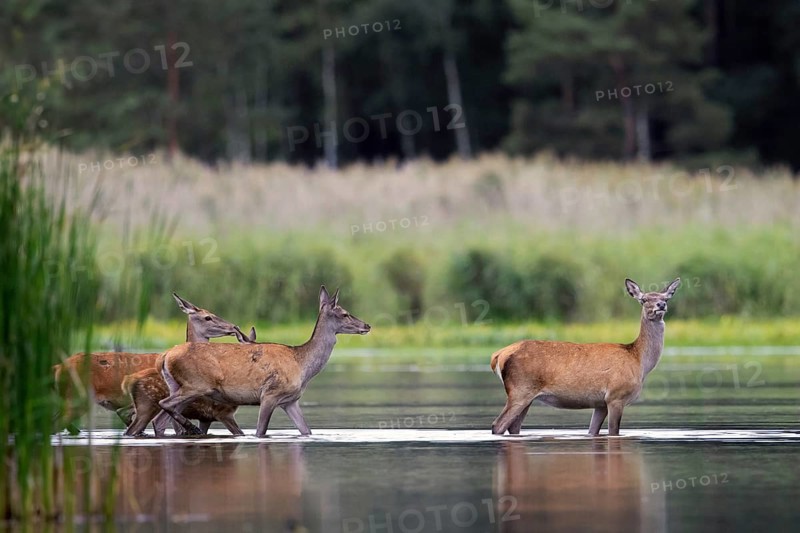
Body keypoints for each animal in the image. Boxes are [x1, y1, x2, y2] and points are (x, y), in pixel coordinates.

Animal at [157, 286, 370, 437]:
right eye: (345, 313)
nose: (367, 325)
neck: (302, 365)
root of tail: (166, 357)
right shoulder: (269, 394)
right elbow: (260, 432)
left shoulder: (290, 401)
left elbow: (306, 431)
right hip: (195, 385)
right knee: (164, 405)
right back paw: (191, 428)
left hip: (180, 387)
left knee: (161, 419)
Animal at [490, 278, 680, 437]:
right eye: (644, 299)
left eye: (666, 298)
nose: (661, 304)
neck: (639, 361)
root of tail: (498, 355)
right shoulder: (616, 395)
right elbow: (613, 431)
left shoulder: (600, 403)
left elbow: (592, 431)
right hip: (520, 389)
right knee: (497, 425)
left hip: (526, 395)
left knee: (513, 427)